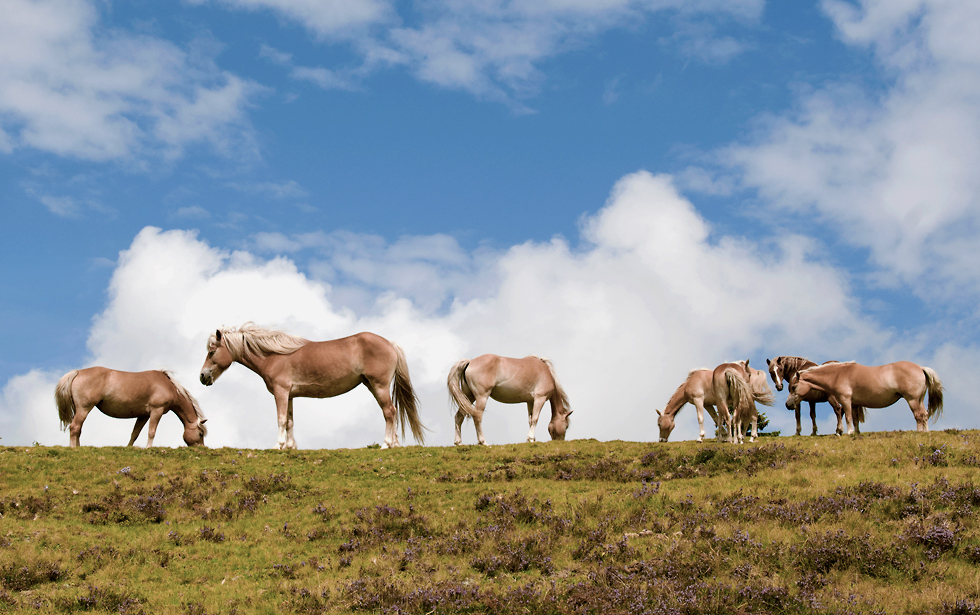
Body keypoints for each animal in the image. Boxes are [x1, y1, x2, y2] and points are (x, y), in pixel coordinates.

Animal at [54, 366, 207, 448]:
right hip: (84, 408)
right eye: (200, 434)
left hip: (79, 410)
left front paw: (129, 447)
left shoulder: (144, 415)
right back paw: (73, 448)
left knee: (78, 429)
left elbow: (135, 433)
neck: (168, 386)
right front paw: (148, 448)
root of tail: (77, 372)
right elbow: (151, 432)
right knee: (74, 427)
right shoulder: (156, 411)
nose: (202, 448)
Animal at [199, 324, 424, 450]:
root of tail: (390, 344)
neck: (273, 355)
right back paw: (394, 444)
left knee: (389, 412)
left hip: (379, 386)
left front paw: (278, 446)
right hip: (372, 385)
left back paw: (386, 444)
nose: (202, 376)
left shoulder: (280, 392)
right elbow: (290, 421)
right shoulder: (289, 395)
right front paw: (290, 446)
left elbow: (281, 420)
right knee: (391, 413)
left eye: (212, 352)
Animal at [780, 358, 940, 436]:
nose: (787, 405)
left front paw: (849, 432)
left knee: (919, 415)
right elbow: (856, 419)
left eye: (794, 387)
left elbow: (848, 417)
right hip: (919, 400)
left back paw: (920, 432)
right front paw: (856, 432)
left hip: (912, 400)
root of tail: (921, 368)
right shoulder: (855, 403)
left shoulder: (845, 400)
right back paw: (926, 432)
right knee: (924, 415)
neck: (838, 374)